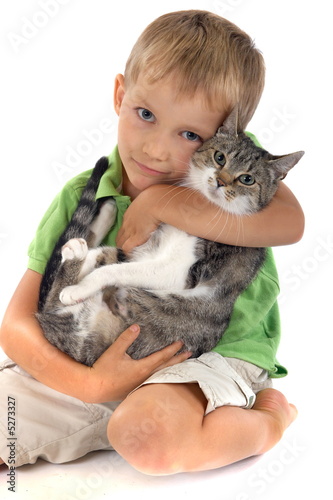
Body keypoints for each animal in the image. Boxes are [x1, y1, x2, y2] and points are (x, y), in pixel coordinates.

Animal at [36, 107, 304, 366]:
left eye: (247, 179)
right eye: (220, 157)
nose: (220, 181)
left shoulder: (178, 272)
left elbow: (112, 269)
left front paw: (79, 287)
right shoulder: (141, 248)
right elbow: (105, 256)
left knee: (55, 298)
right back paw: (101, 220)